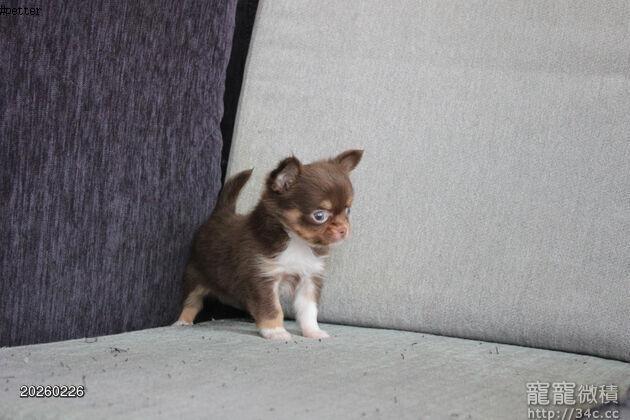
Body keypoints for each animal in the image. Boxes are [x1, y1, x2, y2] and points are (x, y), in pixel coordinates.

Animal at [174, 150, 363, 339]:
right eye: (319, 216)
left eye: (348, 210)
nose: (343, 229)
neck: (296, 242)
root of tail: (221, 214)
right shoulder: (263, 278)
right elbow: (272, 308)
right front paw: (275, 331)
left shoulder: (309, 279)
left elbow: (308, 310)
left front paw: (312, 331)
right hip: (194, 275)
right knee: (191, 302)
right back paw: (182, 322)